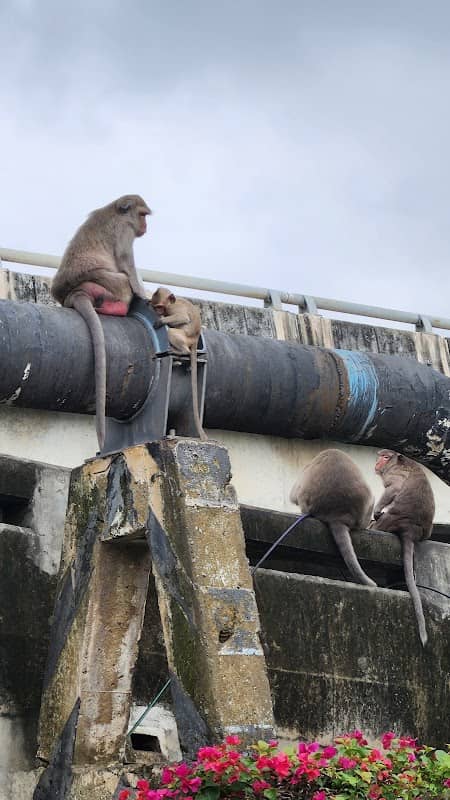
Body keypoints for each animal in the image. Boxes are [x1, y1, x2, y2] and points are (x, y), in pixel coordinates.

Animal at [51, 194, 151, 450]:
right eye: (142, 215)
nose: (145, 226)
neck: (115, 211)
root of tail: (74, 293)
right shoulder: (125, 231)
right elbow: (126, 264)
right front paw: (143, 293)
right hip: (107, 280)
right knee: (122, 280)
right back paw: (119, 305)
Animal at [150, 287, 207, 441]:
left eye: (160, 307)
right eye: (155, 307)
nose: (158, 312)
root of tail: (195, 340)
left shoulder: (174, 309)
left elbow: (182, 318)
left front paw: (162, 320)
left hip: (185, 338)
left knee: (172, 332)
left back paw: (180, 351)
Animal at [370, 449, 435, 647]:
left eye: (385, 457)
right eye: (380, 456)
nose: (378, 462)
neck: (396, 462)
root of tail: (410, 528)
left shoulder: (394, 475)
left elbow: (394, 489)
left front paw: (376, 510)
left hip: (389, 521)